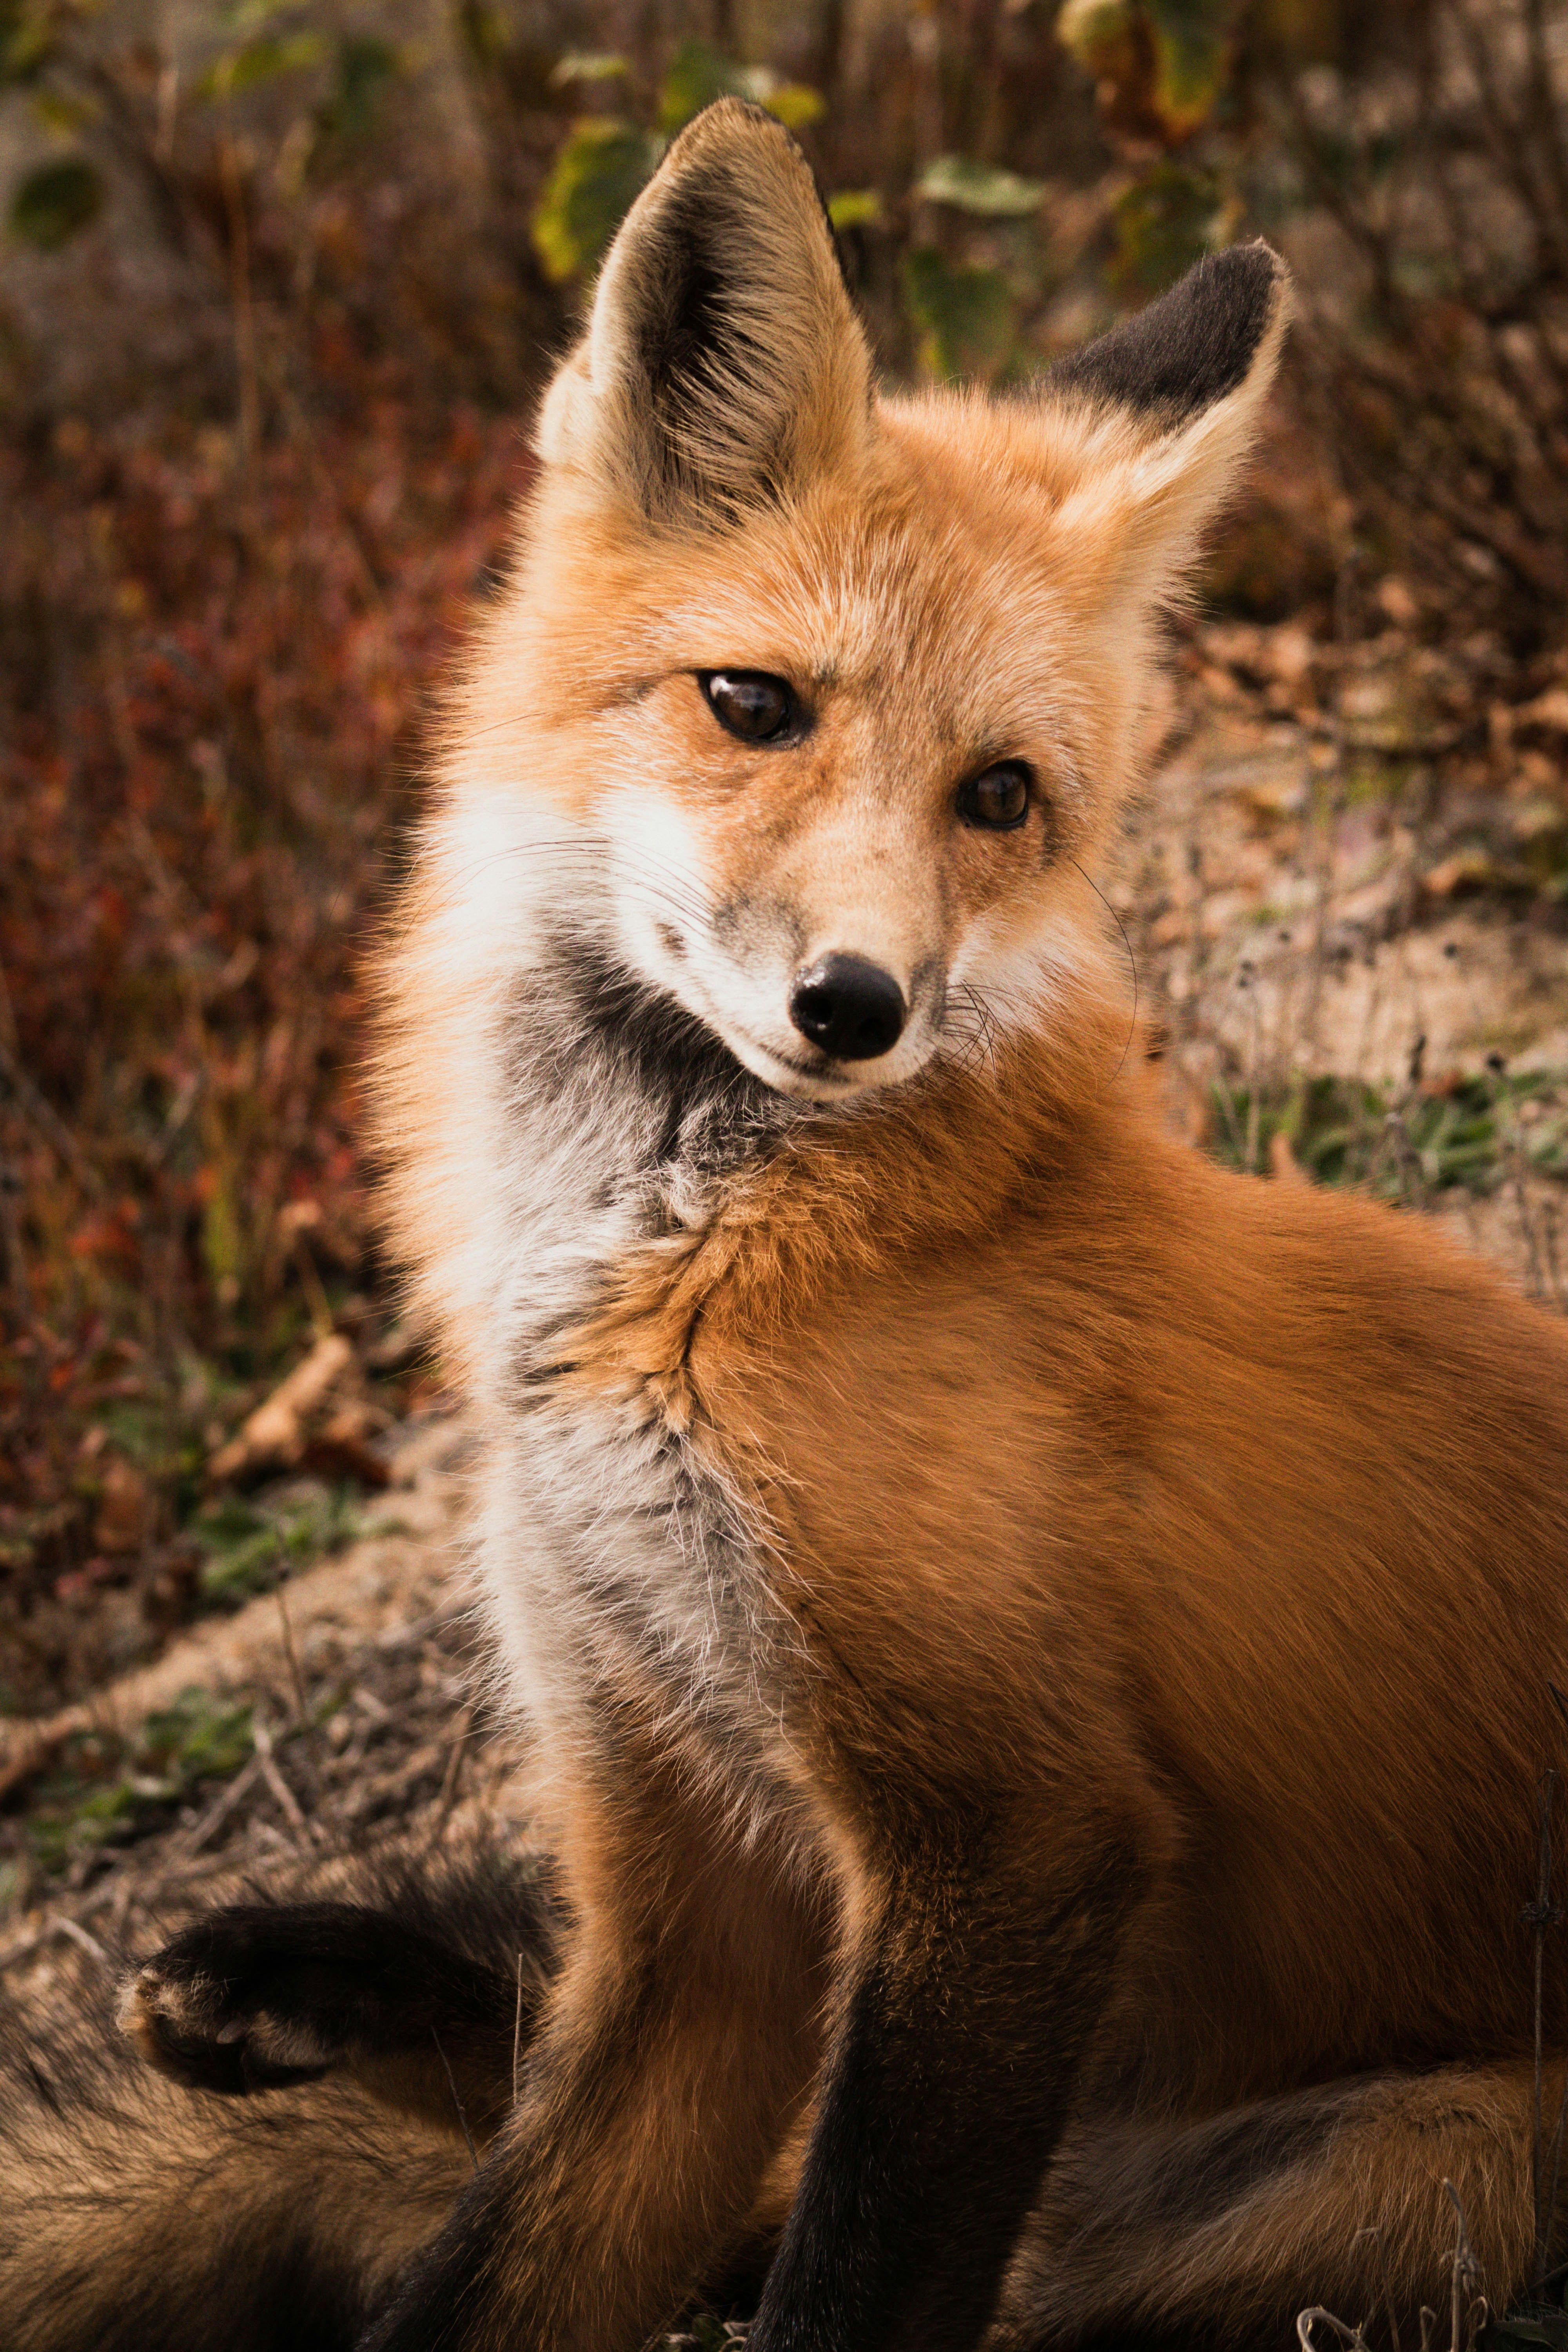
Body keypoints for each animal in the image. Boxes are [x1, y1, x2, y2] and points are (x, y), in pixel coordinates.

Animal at [6, 89, 1568, 2352]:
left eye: (1000, 797)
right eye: (750, 702)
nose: (857, 1006)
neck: (658, 1280)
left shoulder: (1013, 1840)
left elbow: (845, 2275)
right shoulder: (676, 1845)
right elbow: (500, 2250)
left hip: (1396, 2180)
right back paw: (273, 1981)